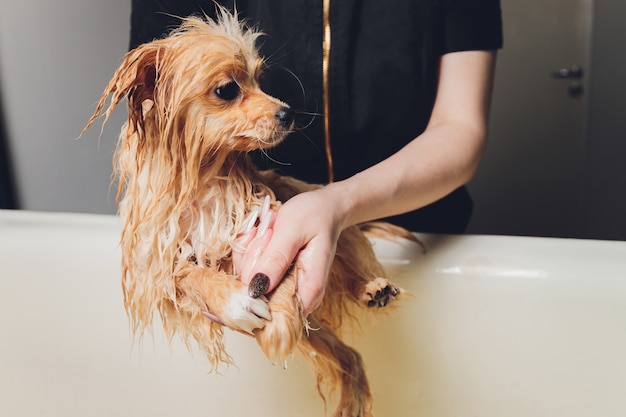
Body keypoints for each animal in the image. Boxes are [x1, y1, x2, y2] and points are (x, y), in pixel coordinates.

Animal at [84, 9, 414, 416]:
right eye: (228, 89)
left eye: (259, 79)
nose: (289, 112)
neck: (205, 182)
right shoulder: (155, 261)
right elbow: (186, 274)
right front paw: (233, 299)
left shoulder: (268, 225)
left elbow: (282, 278)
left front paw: (279, 321)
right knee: (348, 356)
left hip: (327, 225)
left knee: (350, 276)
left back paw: (373, 289)